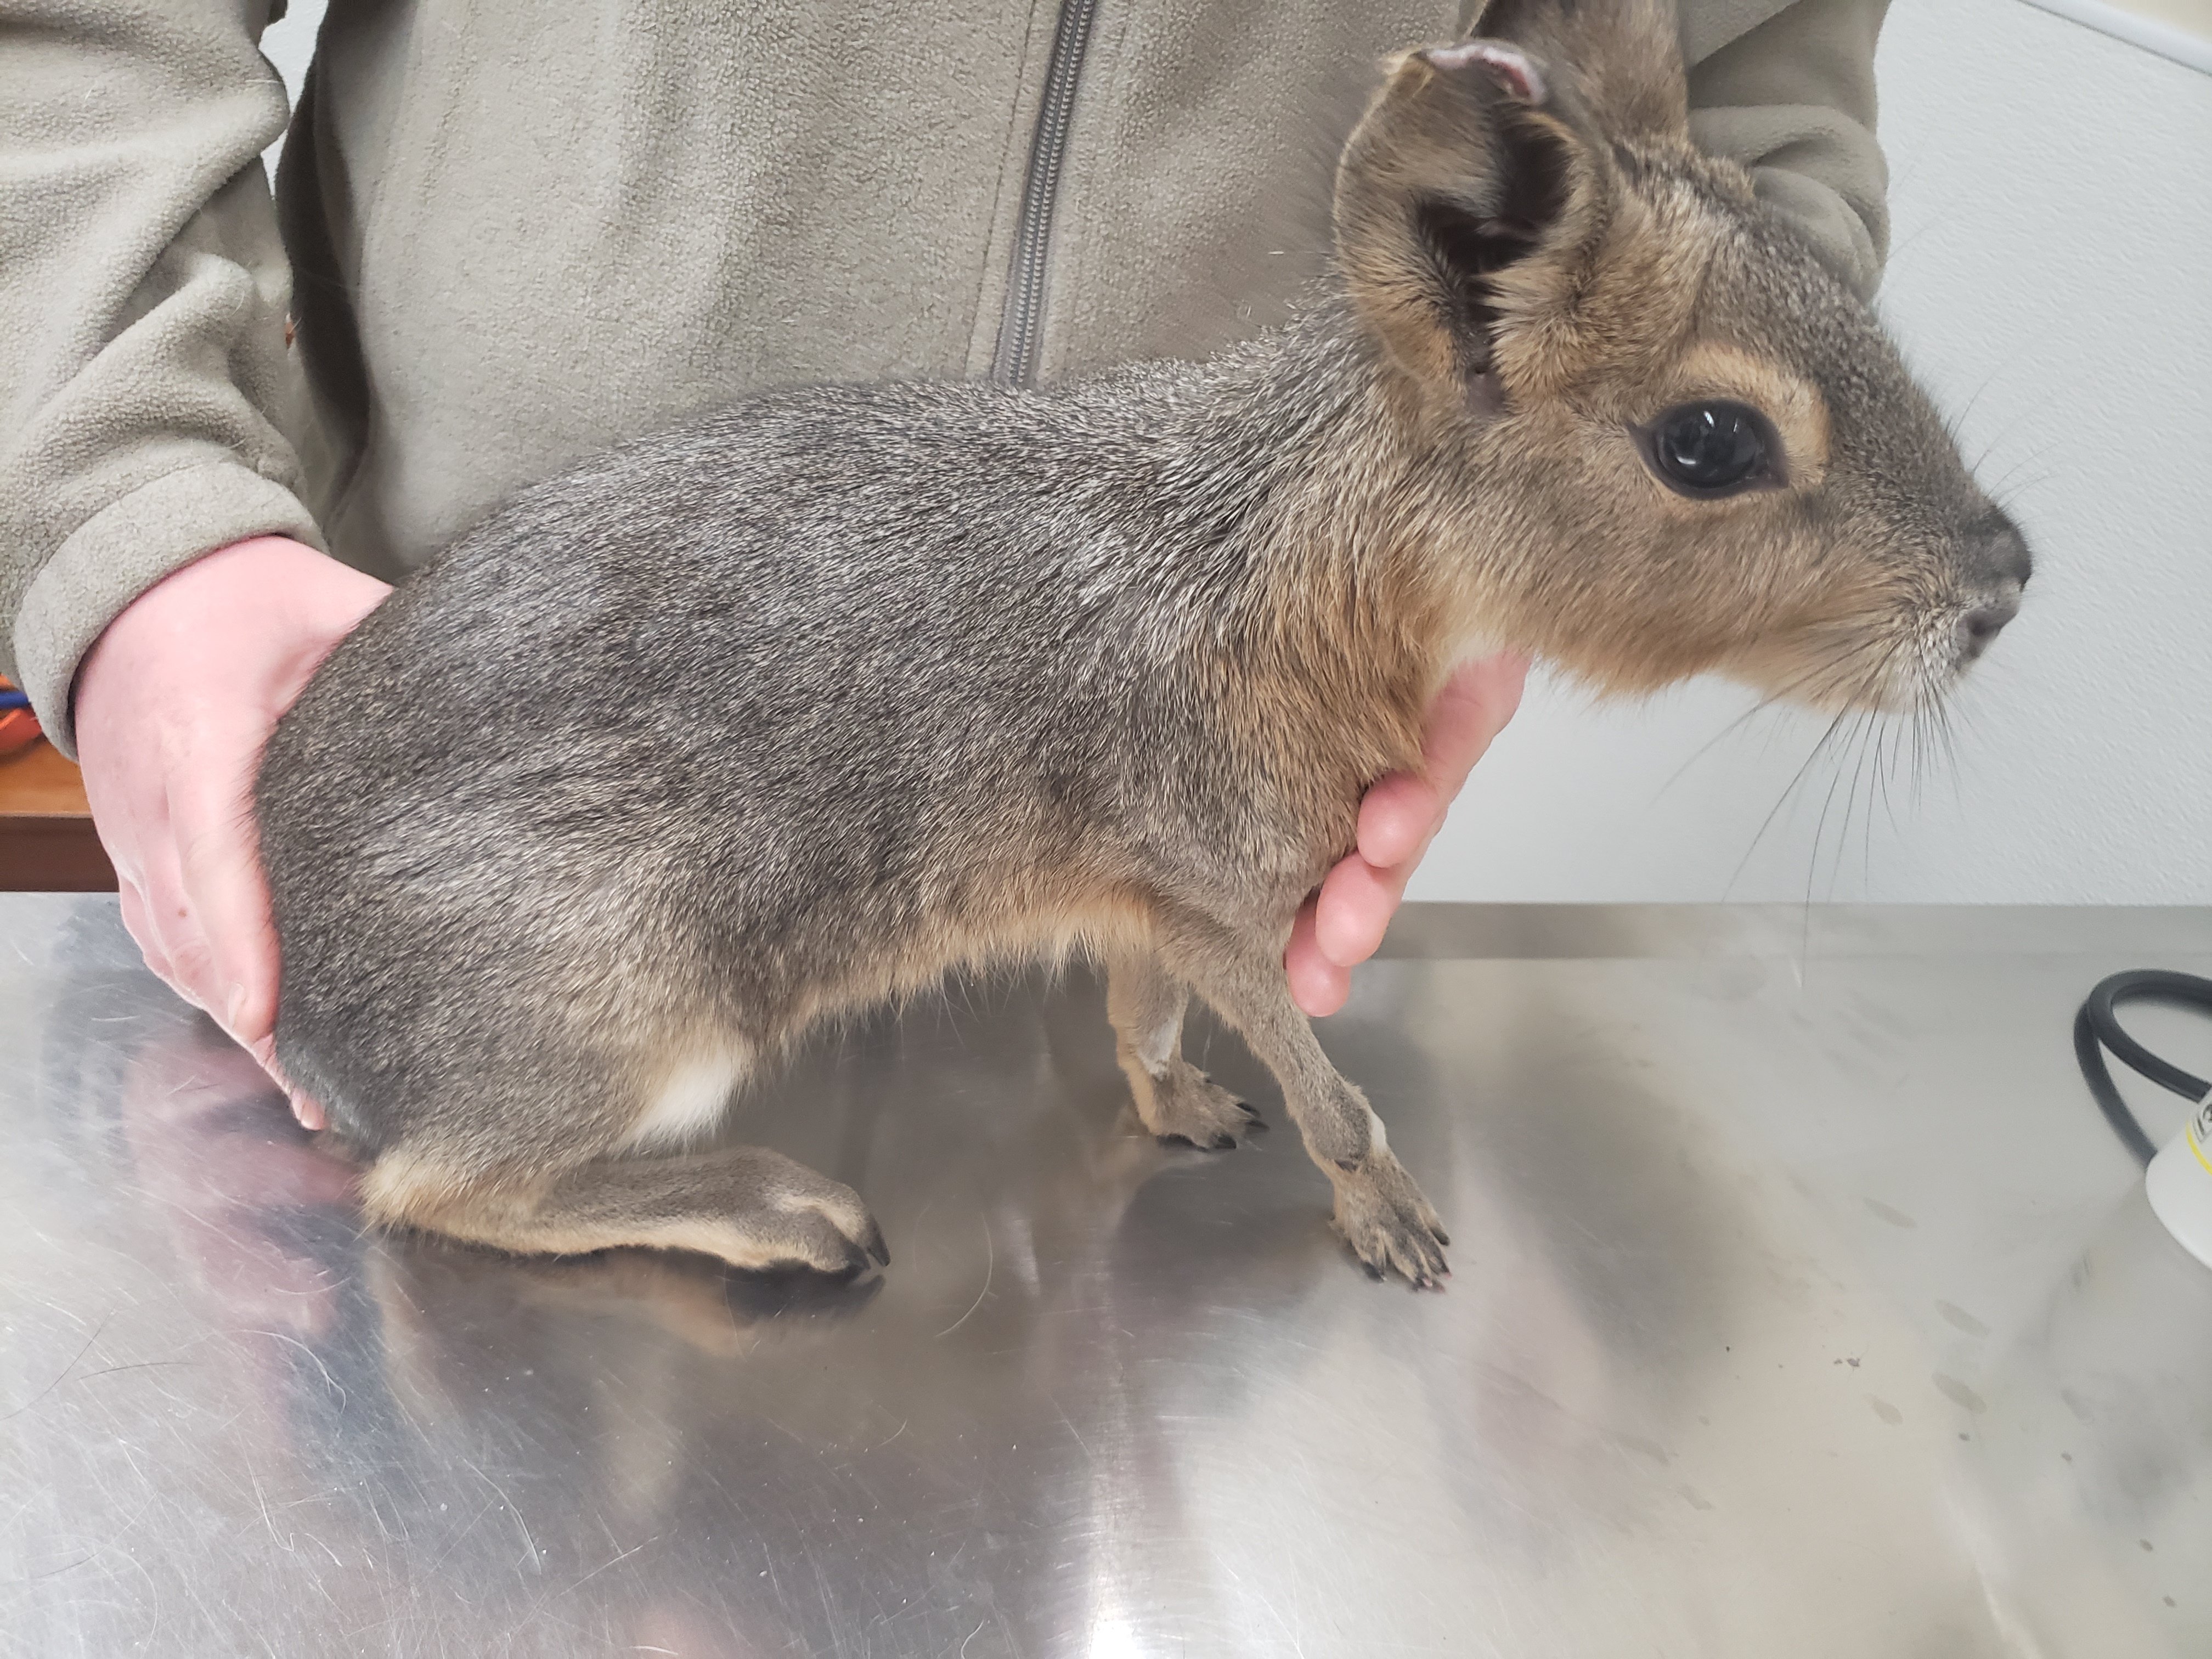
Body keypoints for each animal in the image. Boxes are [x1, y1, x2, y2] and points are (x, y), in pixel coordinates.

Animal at [255, 0, 2030, 1289]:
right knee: (432, 1187)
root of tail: (310, 995)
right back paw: (785, 1210)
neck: (1288, 565)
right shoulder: (1227, 888)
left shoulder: (1156, 891)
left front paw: (1178, 1103)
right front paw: (1387, 1212)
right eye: (1711, 441)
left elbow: (1145, 1011)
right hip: (620, 1007)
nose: (2003, 583)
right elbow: (1329, 1081)